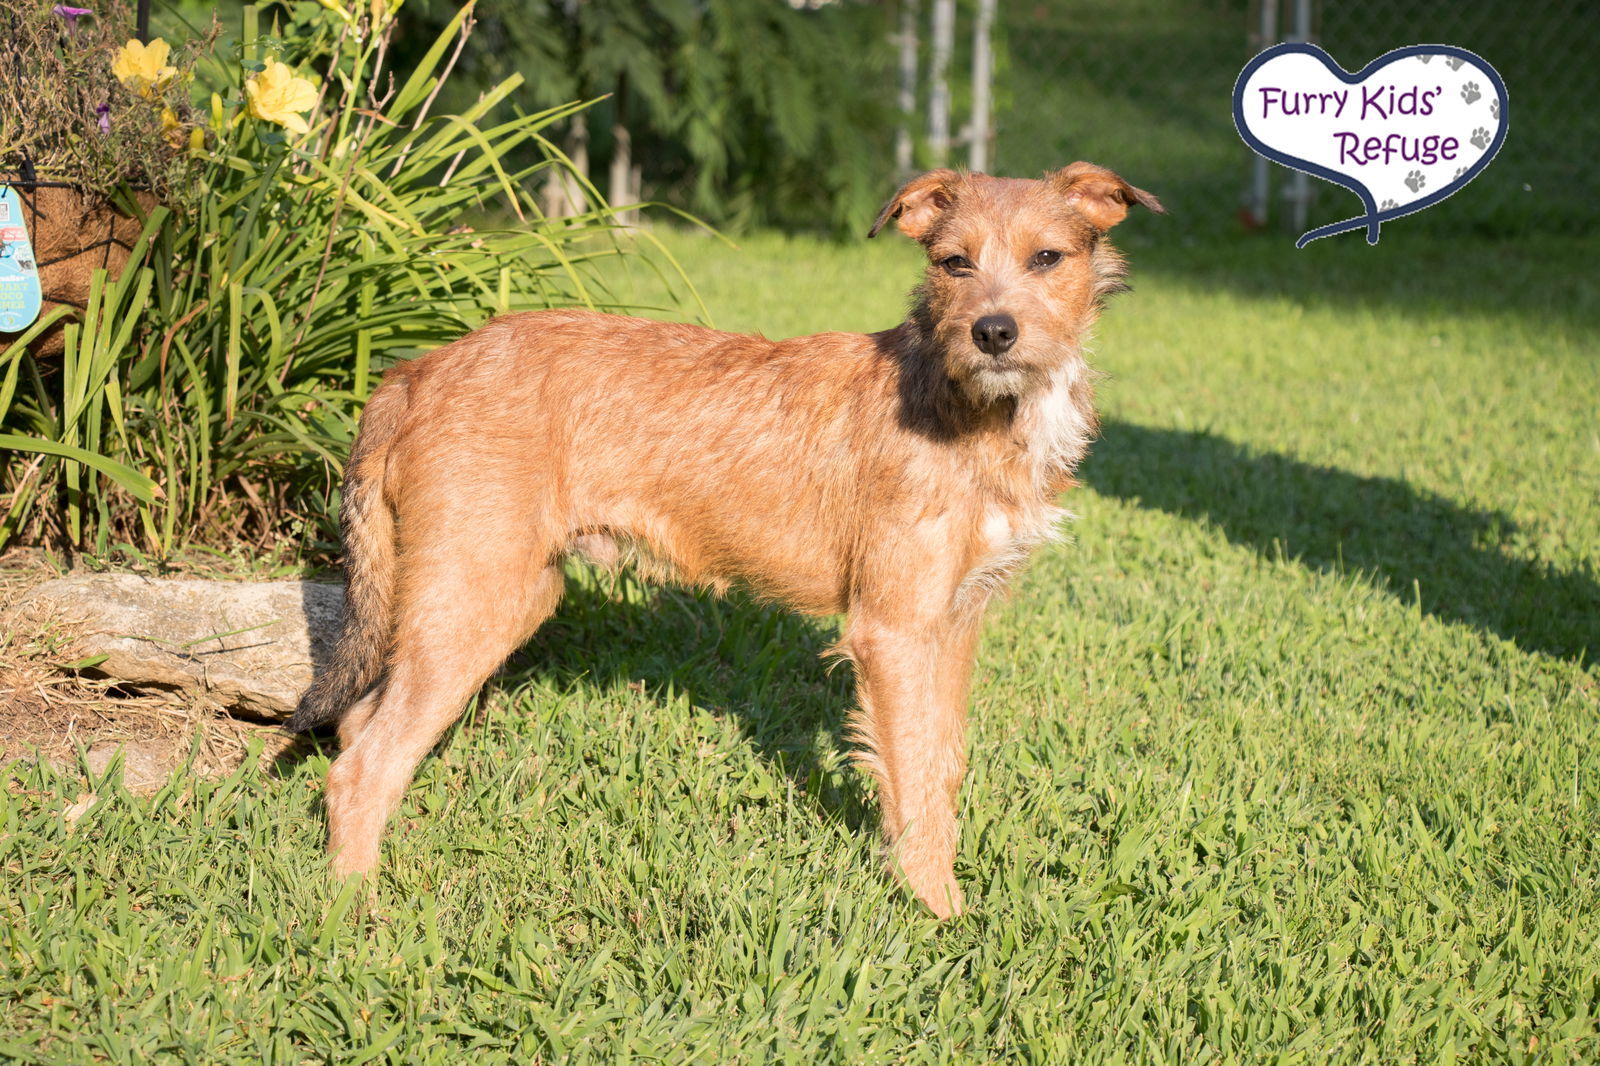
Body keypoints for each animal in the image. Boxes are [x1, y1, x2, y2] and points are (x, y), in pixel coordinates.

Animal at [288, 164, 1164, 915]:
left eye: (1047, 258)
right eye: (954, 263)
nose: (993, 332)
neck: (973, 409)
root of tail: (415, 372)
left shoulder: (953, 625)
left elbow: (939, 768)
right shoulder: (894, 632)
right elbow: (913, 782)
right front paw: (938, 917)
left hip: (496, 598)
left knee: (358, 730)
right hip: (474, 602)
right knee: (361, 767)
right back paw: (356, 917)